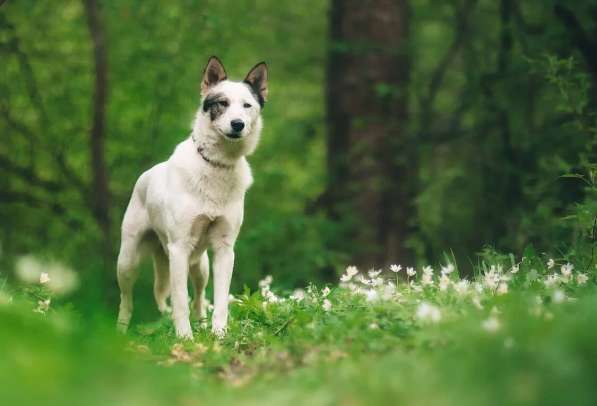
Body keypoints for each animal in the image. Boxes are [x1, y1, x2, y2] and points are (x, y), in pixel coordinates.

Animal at [115, 55, 266, 338]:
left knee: (198, 297)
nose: (238, 124)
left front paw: (219, 335)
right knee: (127, 300)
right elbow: (179, 301)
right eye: (222, 103)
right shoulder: (179, 248)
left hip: (200, 265)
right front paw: (184, 338)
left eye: (247, 105)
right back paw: (120, 331)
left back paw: (202, 324)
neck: (216, 164)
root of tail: (146, 175)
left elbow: (219, 300)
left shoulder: (224, 250)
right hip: (128, 262)